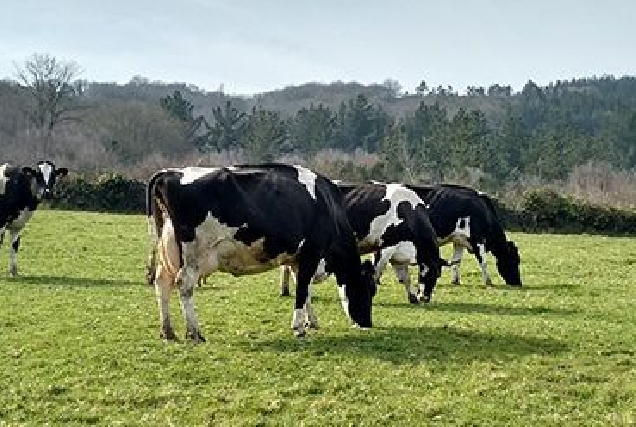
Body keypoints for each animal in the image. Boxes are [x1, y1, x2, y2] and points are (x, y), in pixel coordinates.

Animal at [147, 166, 376, 342]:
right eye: (368, 290)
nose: (367, 323)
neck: (329, 206)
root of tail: (170, 173)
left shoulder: (298, 259)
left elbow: (305, 290)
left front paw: (311, 322)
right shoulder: (311, 253)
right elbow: (302, 289)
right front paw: (299, 328)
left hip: (169, 251)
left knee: (162, 282)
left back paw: (168, 331)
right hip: (194, 254)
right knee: (184, 285)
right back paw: (195, 333)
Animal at [280, 182, 444, 306]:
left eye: (438, 275)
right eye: (433, 274)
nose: (425, 298)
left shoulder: (398, 254)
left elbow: (405, 278)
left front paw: (412, 297)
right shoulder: (385, 248)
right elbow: (377, 272)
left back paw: (286, 291)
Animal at [390, 184, 524, 288]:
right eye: (514, 260)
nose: (518, 283)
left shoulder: (459, 240)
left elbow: (457, 261)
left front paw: (456, 281)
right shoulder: (478, 239)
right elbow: (483, 261)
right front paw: (488, 282)